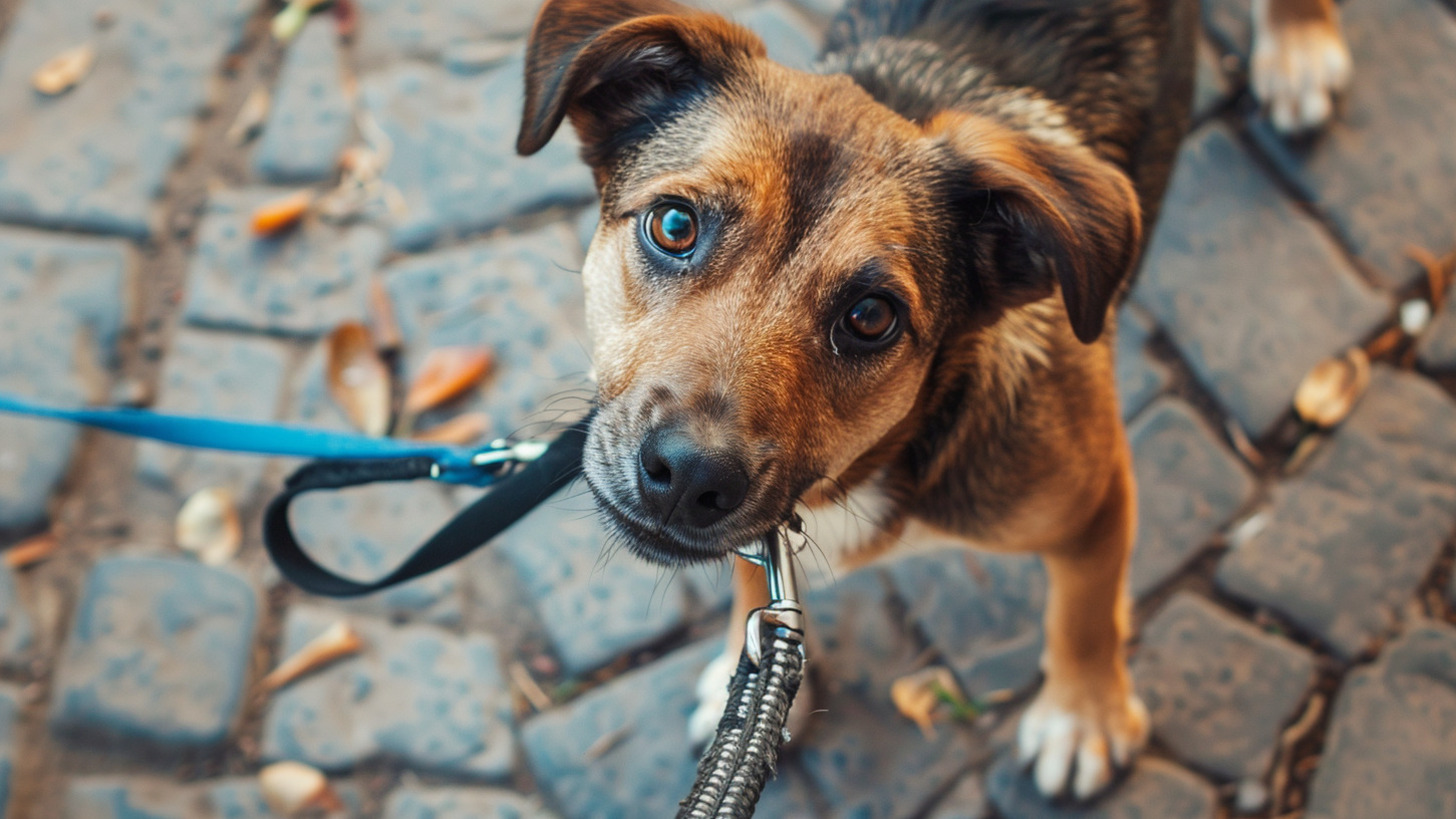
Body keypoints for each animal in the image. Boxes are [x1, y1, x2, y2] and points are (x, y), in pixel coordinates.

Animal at [515, 0, 1351, 798]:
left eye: (870, 317)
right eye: (674, 224)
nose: (688, 476)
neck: (875, 463)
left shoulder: (1097, 499)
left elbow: (1083, 617)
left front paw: (1083, 717)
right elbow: (754, 572)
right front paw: (739, 667)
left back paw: (1300, 47)